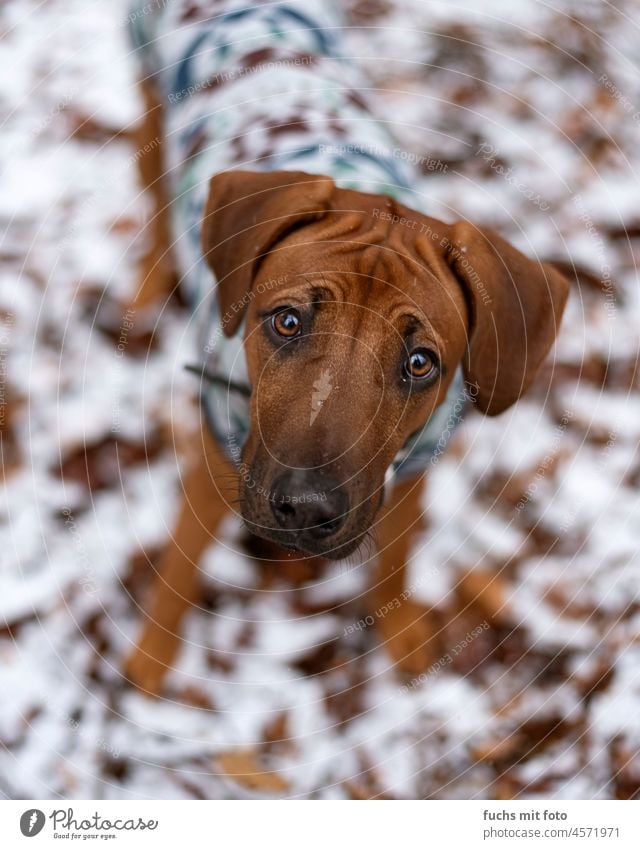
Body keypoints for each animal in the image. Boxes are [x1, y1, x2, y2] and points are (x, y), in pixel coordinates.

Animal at [122, 93, 568, 692]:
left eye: (420, 363)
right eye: (287, 321)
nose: (308, 511)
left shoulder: (409, 473)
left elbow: (396, 559)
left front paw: (401, 631)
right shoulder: (217, 466)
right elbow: (179, 570)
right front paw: (150, 658)